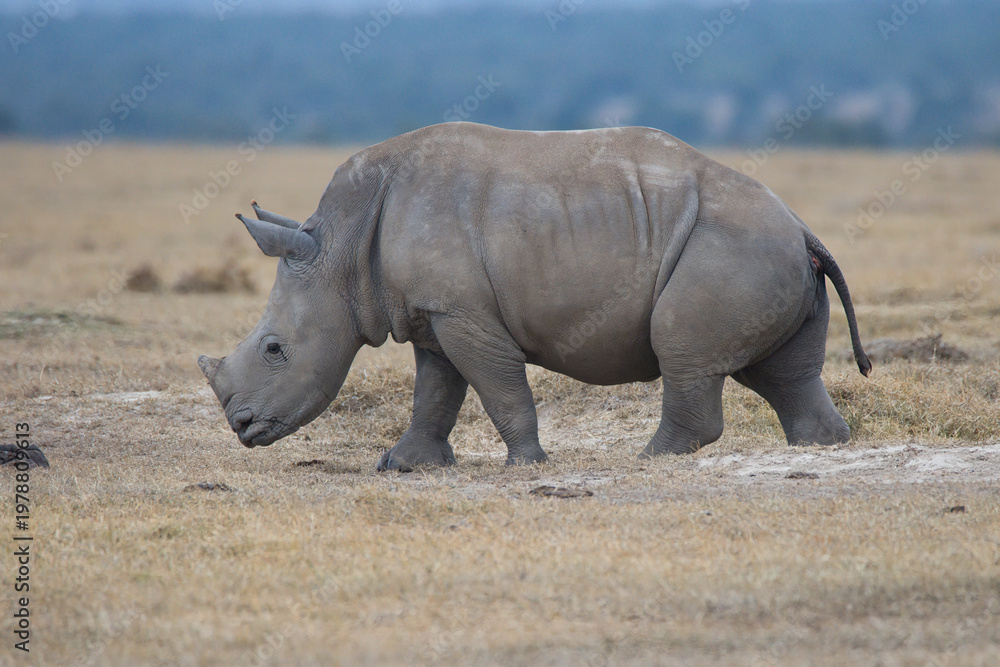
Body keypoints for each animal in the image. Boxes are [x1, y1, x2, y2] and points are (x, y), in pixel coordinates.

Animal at [198, 122, 870, 471]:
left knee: (683, 345)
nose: (242, 427)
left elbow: (497, 385)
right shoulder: (434, 312)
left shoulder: (462, 313)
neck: (338, 248)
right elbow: (435, 391)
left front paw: (526, 465)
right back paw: (821, 448)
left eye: (275, 349)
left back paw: (650, 459)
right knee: (782, 372)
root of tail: (801, 227)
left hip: (734, 246)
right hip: (771, 253)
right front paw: (404, 465)